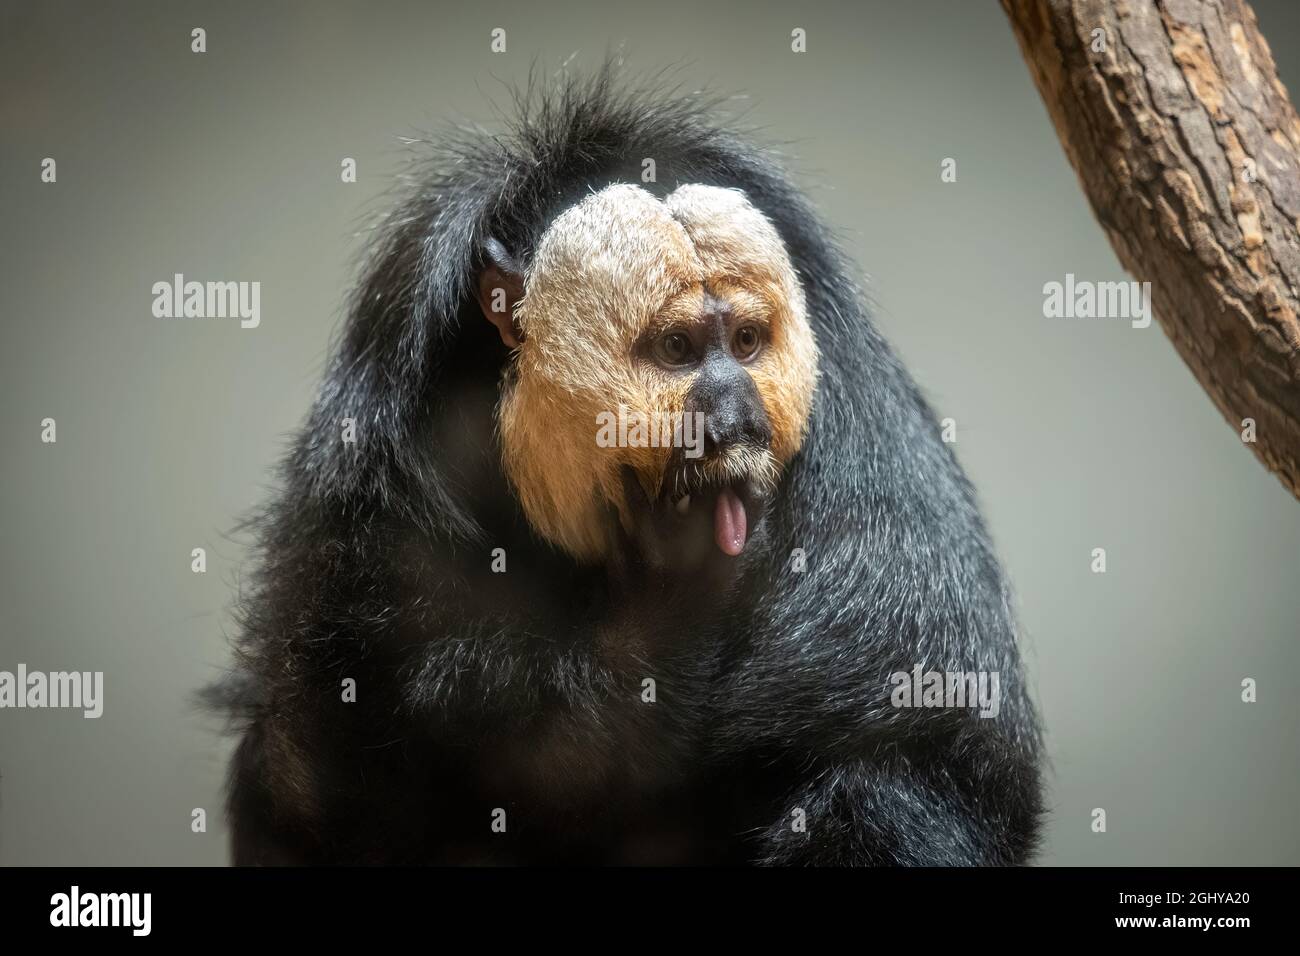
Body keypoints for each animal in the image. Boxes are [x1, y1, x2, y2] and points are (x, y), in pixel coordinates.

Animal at [208, 67, 1043, 866]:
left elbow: (922, 753)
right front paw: (672, 604)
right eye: (677, 349)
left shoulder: (873, 464)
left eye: (746, 342)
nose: (736, 419)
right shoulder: (380, 467)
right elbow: (339, 777)